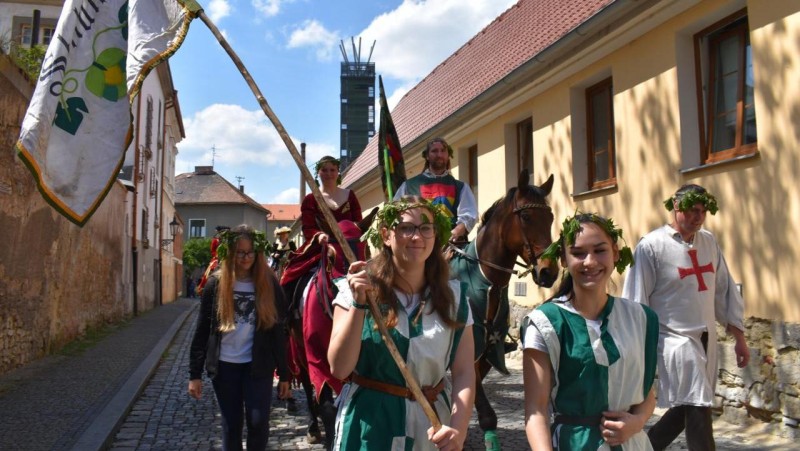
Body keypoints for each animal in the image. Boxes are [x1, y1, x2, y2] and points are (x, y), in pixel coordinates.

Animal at [450, 169, 556, 448]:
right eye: (526, 217)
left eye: (551, 218)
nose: (549, 272)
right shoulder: (471, 347)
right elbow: (487, 415)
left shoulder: (489, 350)